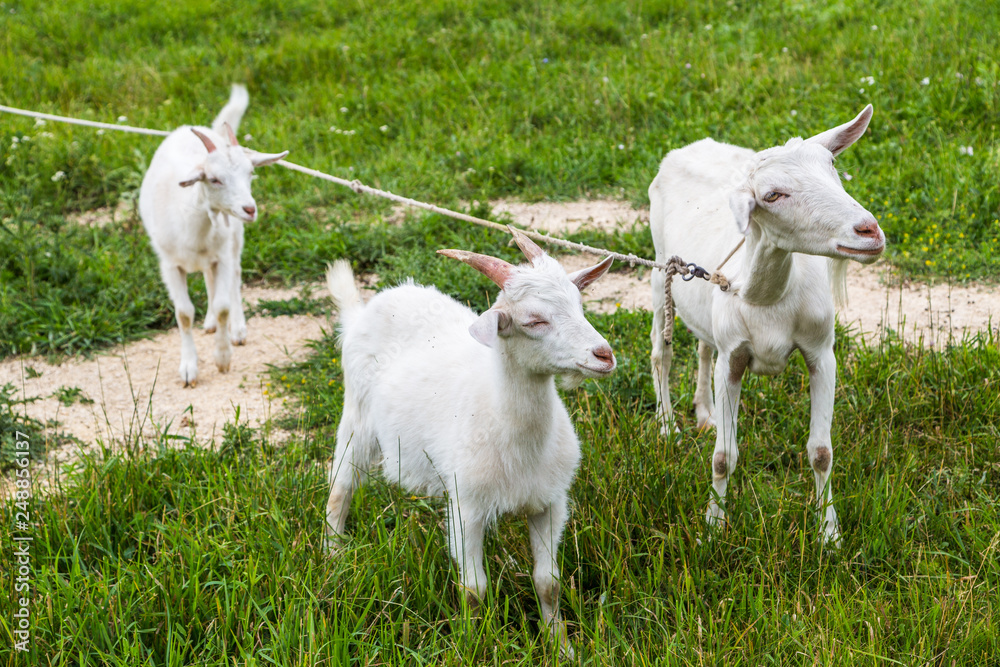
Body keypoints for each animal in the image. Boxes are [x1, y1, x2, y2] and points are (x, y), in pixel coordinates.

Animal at [139, 84, 288, 386]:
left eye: (251, 172)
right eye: (214, 179)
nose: (249, 209)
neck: (192, 225)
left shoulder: (222, 255)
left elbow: (222, 306)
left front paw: (222, 357)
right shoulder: (169, 265)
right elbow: (184, 314)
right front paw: (188, 369)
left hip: (234, 239)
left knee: (234, 278)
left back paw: (237, 329)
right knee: (208, 277)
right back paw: (208, 323)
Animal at [325, 230, 616, 651]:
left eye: (579, 305)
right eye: (534, 320)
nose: (604, 355)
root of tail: (363, 311)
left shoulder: (549, 502)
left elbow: (549, 582)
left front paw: (560, 644)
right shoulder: (467, 508)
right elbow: (474, 588)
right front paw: (478, 643)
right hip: (357, 417)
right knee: (340, 487)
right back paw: (335, 558)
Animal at [648, 106, 884, 545]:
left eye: (832, 165)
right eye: (772, 195)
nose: (869, 231)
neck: (769, 299)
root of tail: (692, 146)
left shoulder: (822, 352)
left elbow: (821, 452)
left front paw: (829, 535)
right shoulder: (734, 359)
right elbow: (723, 457)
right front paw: (713, 529)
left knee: (703, 344)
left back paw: (704, 414)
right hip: (659, 270)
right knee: (661, 351)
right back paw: (668, 426)